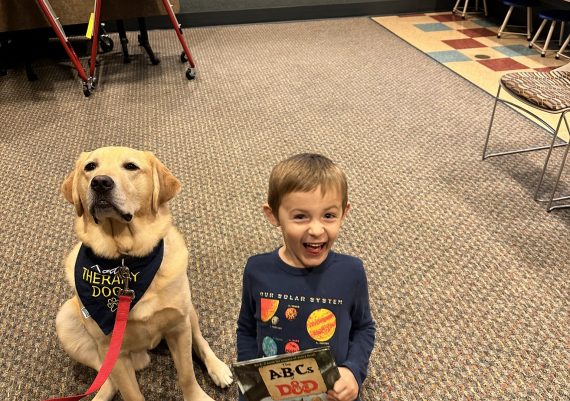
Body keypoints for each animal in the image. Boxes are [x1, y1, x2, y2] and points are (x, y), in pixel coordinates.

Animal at [54, 147, 230, 400]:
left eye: (131, 167)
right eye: (90, 167)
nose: (100, 183)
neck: (126, 261)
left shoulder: (178, 328)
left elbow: (187, 375)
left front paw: (197, 395)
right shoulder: (112, 351)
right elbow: (130, 393)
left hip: (187, 310)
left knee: (200, 339)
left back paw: (218, 368)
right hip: (67, 320)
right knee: (107, 380)